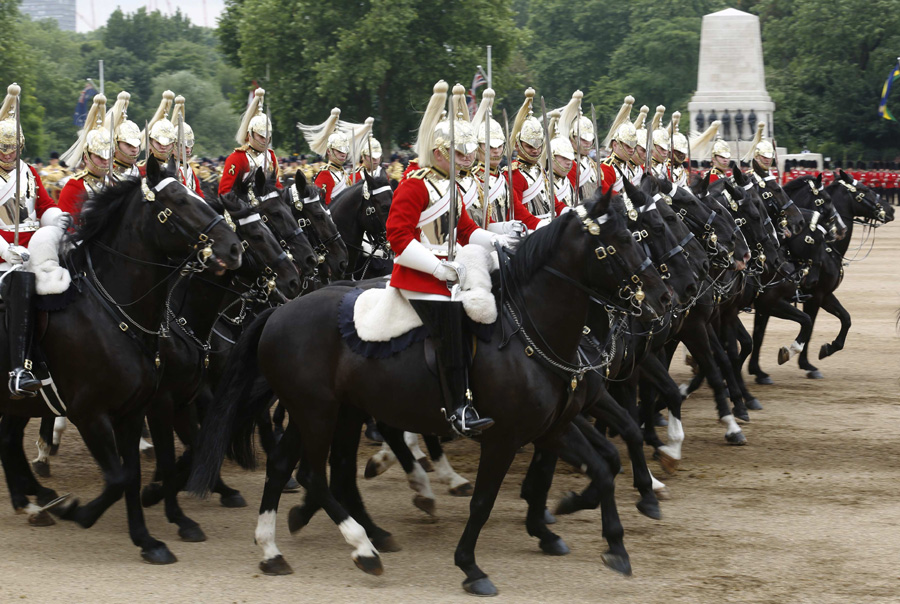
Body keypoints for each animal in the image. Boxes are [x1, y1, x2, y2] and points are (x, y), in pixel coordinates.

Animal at [0, 158, 243, 564]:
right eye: (179, 201)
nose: (234, 247)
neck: (113, 311)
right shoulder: (90, 414)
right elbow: (118, 478)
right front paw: (76, 512)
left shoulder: (133, 411)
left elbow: (131, 475)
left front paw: (147, 540)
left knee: (9, 439)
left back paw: (32, 501)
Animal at [188, 192, 668, 596]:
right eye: (620, 240)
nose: (660, 296)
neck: (530, 330)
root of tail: (280, 311)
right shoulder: (503, 437)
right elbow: (483, 501)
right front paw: (471, 566)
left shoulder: (552, 427)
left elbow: (603, 466)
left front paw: (612, 545)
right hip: (318, 412)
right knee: (314, 473)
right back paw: (363, 546)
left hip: (323, 410)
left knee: (289, 467)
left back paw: (275, 549)